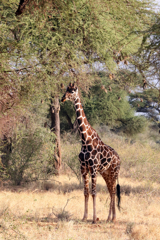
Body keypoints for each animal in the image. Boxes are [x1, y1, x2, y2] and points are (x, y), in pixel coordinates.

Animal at [61, 82, 120, 223]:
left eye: (72, 91)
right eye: (66, 90)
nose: (62, 98)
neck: (85, 140)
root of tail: (119, 159)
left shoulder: (93, 168)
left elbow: (94, 192)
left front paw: (93, 218)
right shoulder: (83, 167)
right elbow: (86, 192)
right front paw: (84, 217)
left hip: (114, 172)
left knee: (113, 191)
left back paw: (114, 218)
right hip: (106, 173)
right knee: (110, 191)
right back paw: (109, 218)